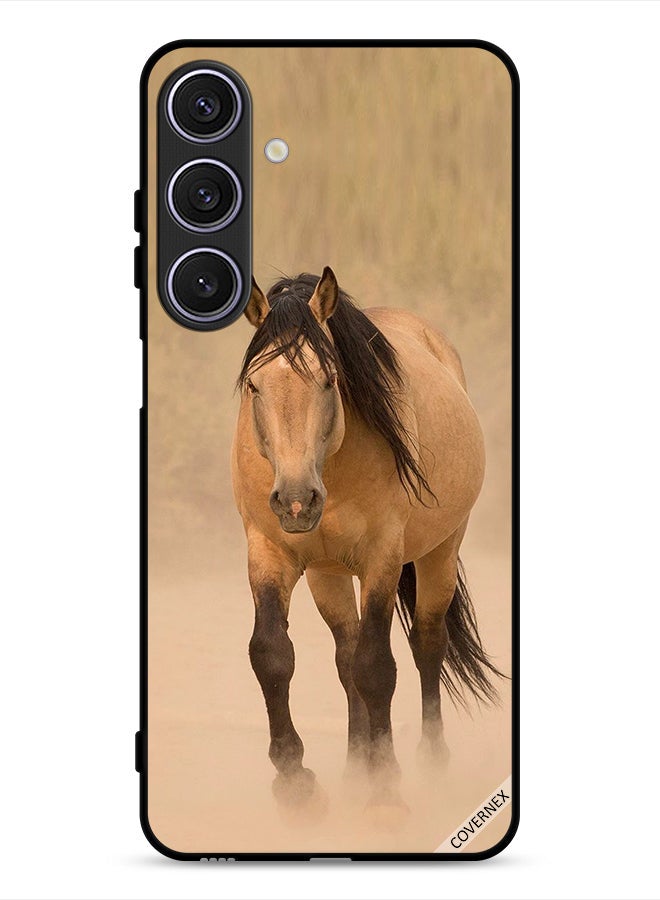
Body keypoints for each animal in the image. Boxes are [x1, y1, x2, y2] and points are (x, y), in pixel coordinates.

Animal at [231, 267, 501, 820]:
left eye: (330, 379)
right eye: (254, 385)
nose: (296, 501)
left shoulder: (382, 559)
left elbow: (378, 667)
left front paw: (386, 786)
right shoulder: (269, 553)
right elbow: (272, 654)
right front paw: (296, 781)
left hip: (440, 552)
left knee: (426, 645)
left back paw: (429, 762)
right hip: (326, 573)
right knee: (345, 655)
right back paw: (355, 767)